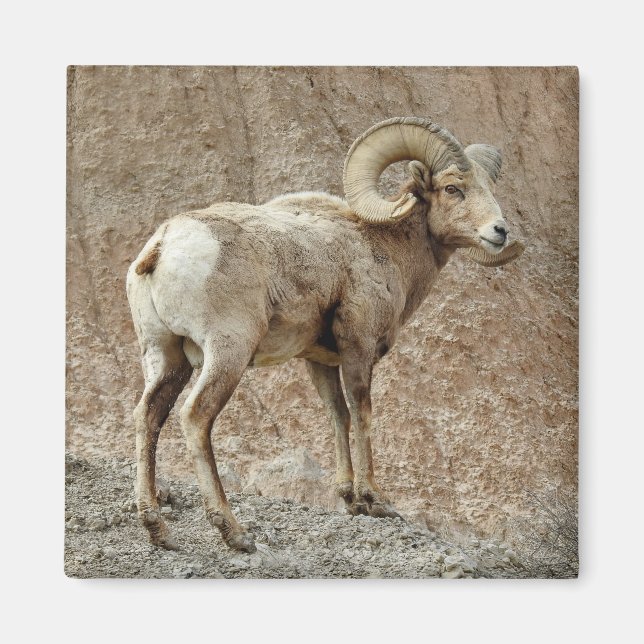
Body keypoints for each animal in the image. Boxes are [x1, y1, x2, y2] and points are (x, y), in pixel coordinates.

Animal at [126, 116, 525, 553]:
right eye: (453, 188)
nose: (499, 231)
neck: (383, 245)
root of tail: (164, 246)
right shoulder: (358, 349)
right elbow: (362, 413)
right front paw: (374, 501)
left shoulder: (319, 361)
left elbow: (338, 416)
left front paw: (349, 498)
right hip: (226, 352)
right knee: (196, 418)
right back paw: (235, 533)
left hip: (166, 356)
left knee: (148, 417)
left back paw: (157, 530)